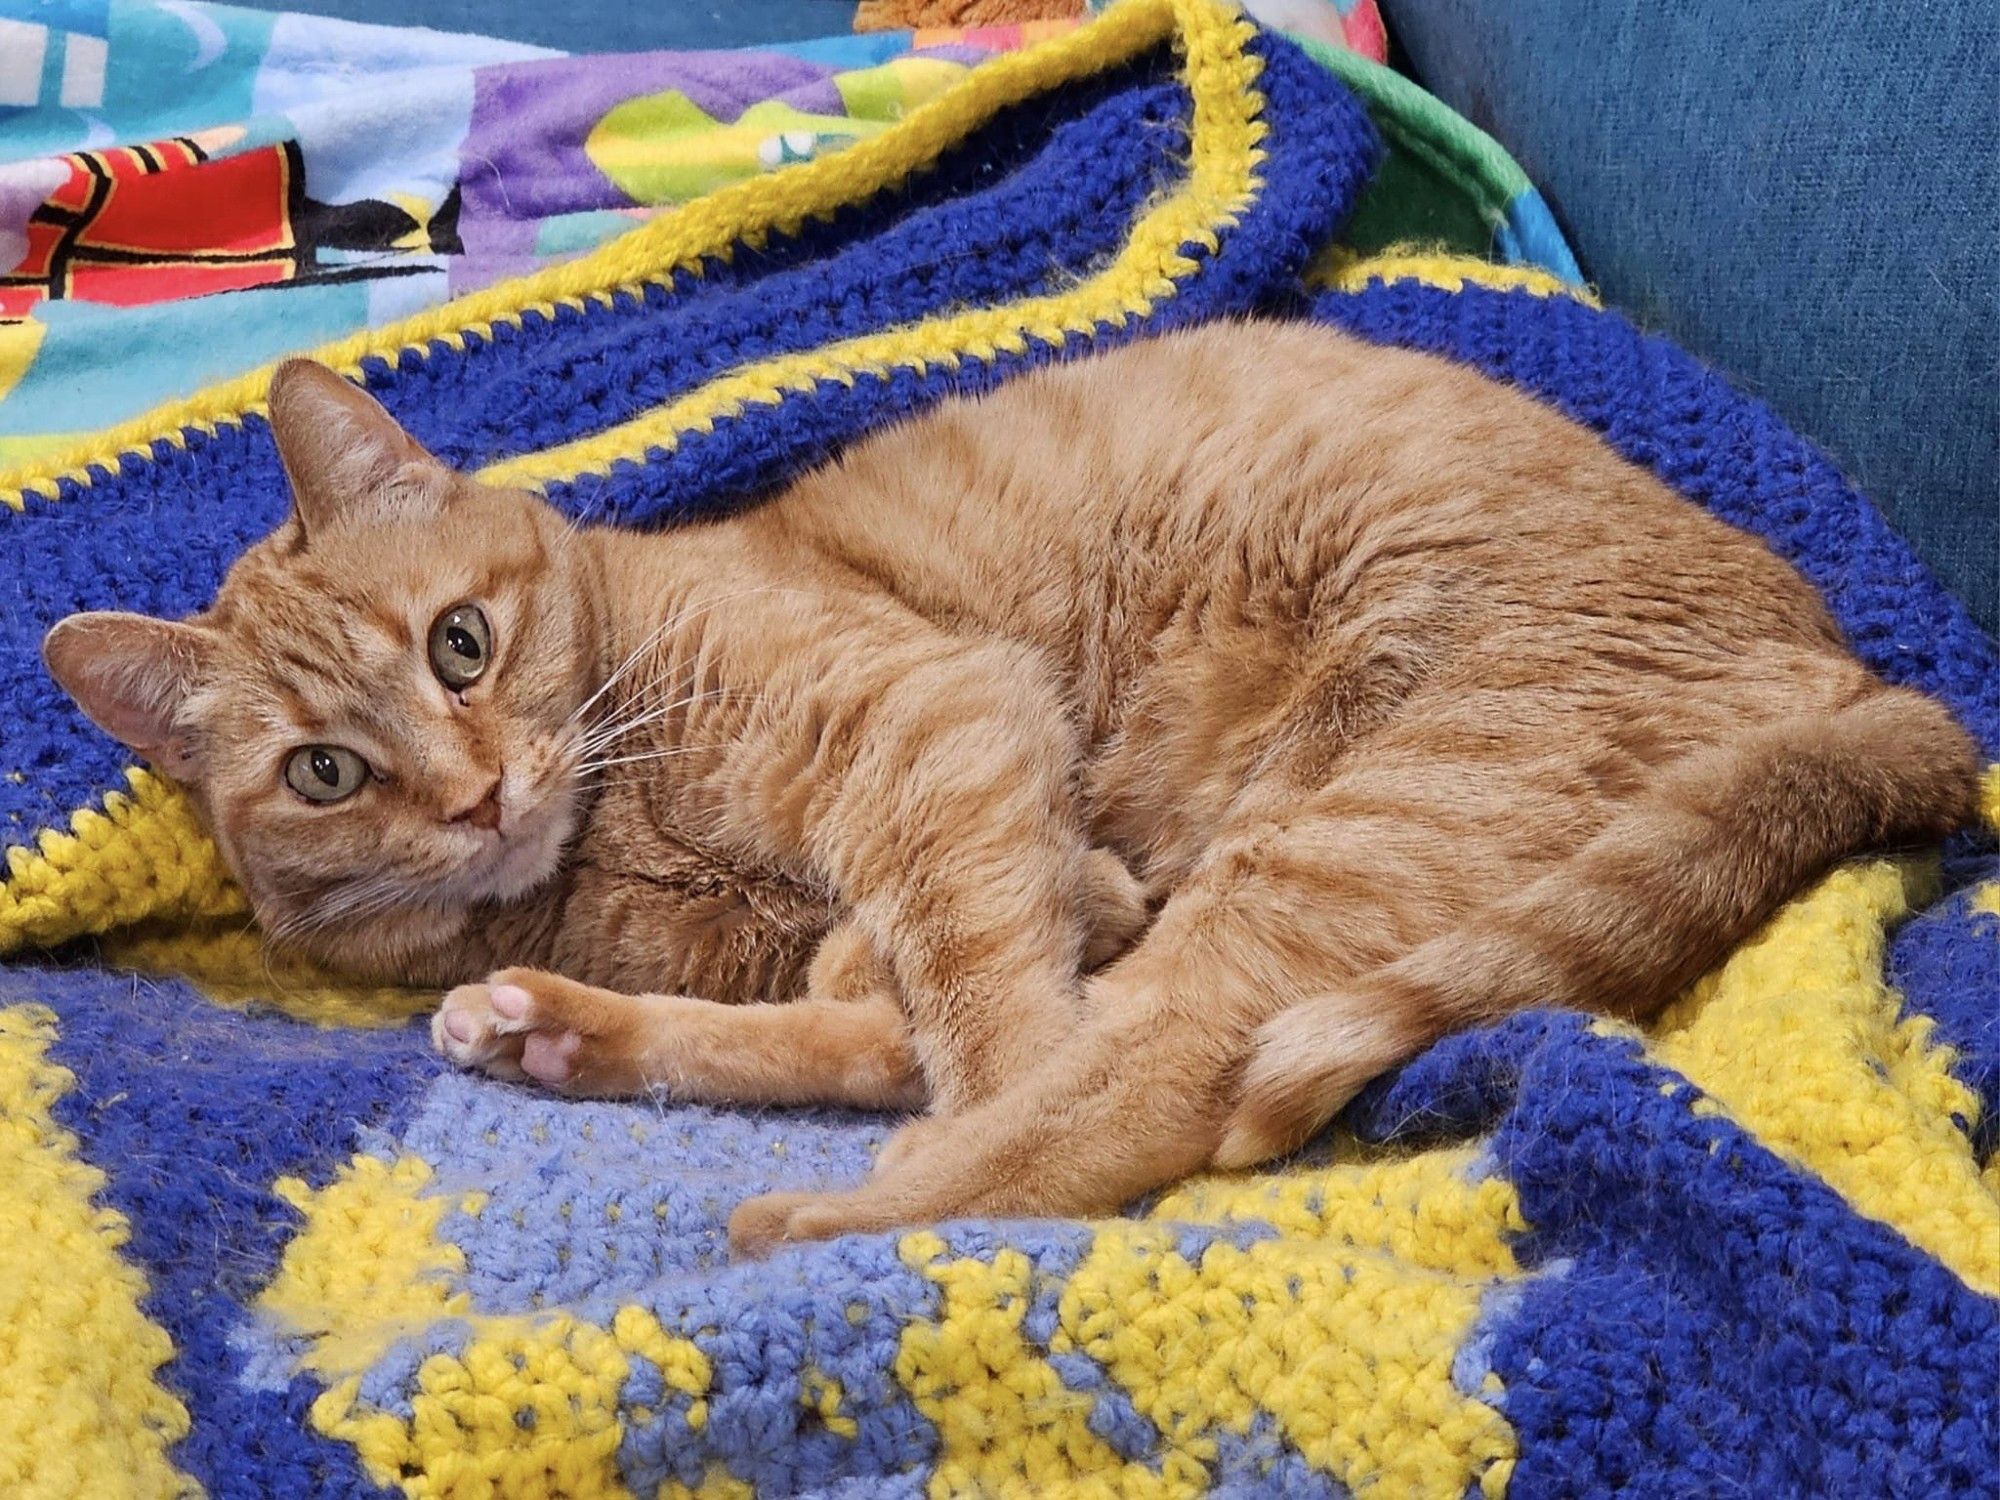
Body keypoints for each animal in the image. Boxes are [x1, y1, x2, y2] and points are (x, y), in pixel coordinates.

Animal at [39, 326, 1976, 1256]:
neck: (614, 838)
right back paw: (567, 1040)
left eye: (459, 643)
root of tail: (1865, 673)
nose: (469, 795)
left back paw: (843, 1220)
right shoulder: (872, 890)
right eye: (327, 772)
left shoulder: (942, 721)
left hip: (1343, 826)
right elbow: (896, 1001)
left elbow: (986, 1016)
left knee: (1126, 1095)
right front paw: (562, 1014)